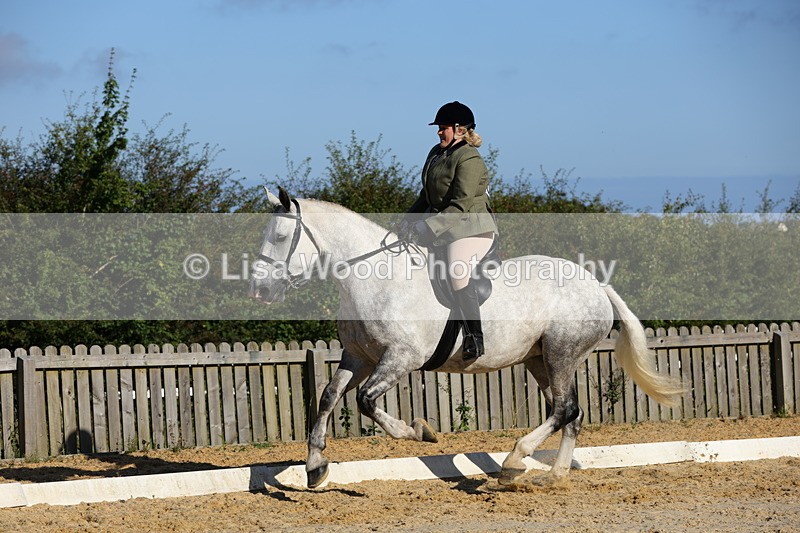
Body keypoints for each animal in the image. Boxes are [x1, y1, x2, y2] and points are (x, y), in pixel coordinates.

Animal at [249, 187, 683, 489]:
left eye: (281, 236)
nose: (260, 291)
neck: (374, 278)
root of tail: (596, 285)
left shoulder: (401, 357)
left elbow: (366, 401)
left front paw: (419, 431)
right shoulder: (358, 357)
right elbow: (327, 397)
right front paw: (315, 467)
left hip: (562, 353)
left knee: (563, 410)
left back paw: (514, 462)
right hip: (540, 360)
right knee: (569, 413)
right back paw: (552, 475)